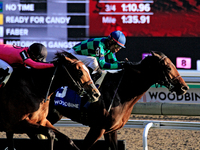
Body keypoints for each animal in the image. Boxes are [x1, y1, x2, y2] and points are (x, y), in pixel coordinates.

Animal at [47, 51, 189, 149]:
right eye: (168, 68)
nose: (184, 87)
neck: (120, 91)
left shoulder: (111, 130)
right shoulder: (97, 128)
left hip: (54, 115)